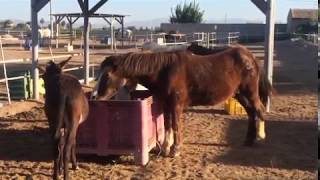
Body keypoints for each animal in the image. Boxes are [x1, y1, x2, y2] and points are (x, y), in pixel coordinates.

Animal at [93, 45, 272, 157]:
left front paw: (175, 150)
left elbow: (176, 125)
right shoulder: (165, 103)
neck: (164, 71)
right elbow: (167, 124)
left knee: (260, 110)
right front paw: (166, 148)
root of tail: (250, 57)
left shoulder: (176, 105)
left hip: (250, 92)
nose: (94, 96)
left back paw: (261, 137)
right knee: (251, 113)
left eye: (107, 75)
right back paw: (249, 140)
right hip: (240, 94)